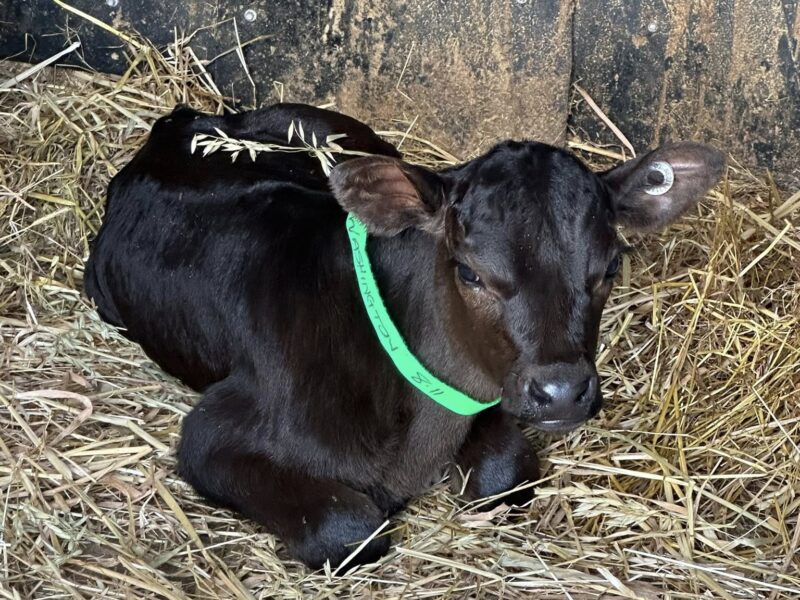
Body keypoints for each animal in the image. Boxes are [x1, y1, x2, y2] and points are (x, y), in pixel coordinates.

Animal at [84, 103, 724, 569]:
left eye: (611, 267)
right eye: (469, 272)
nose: (562, 392)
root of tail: (185, 120)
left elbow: (505, 475)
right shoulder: (209, 435)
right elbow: (350, 530)